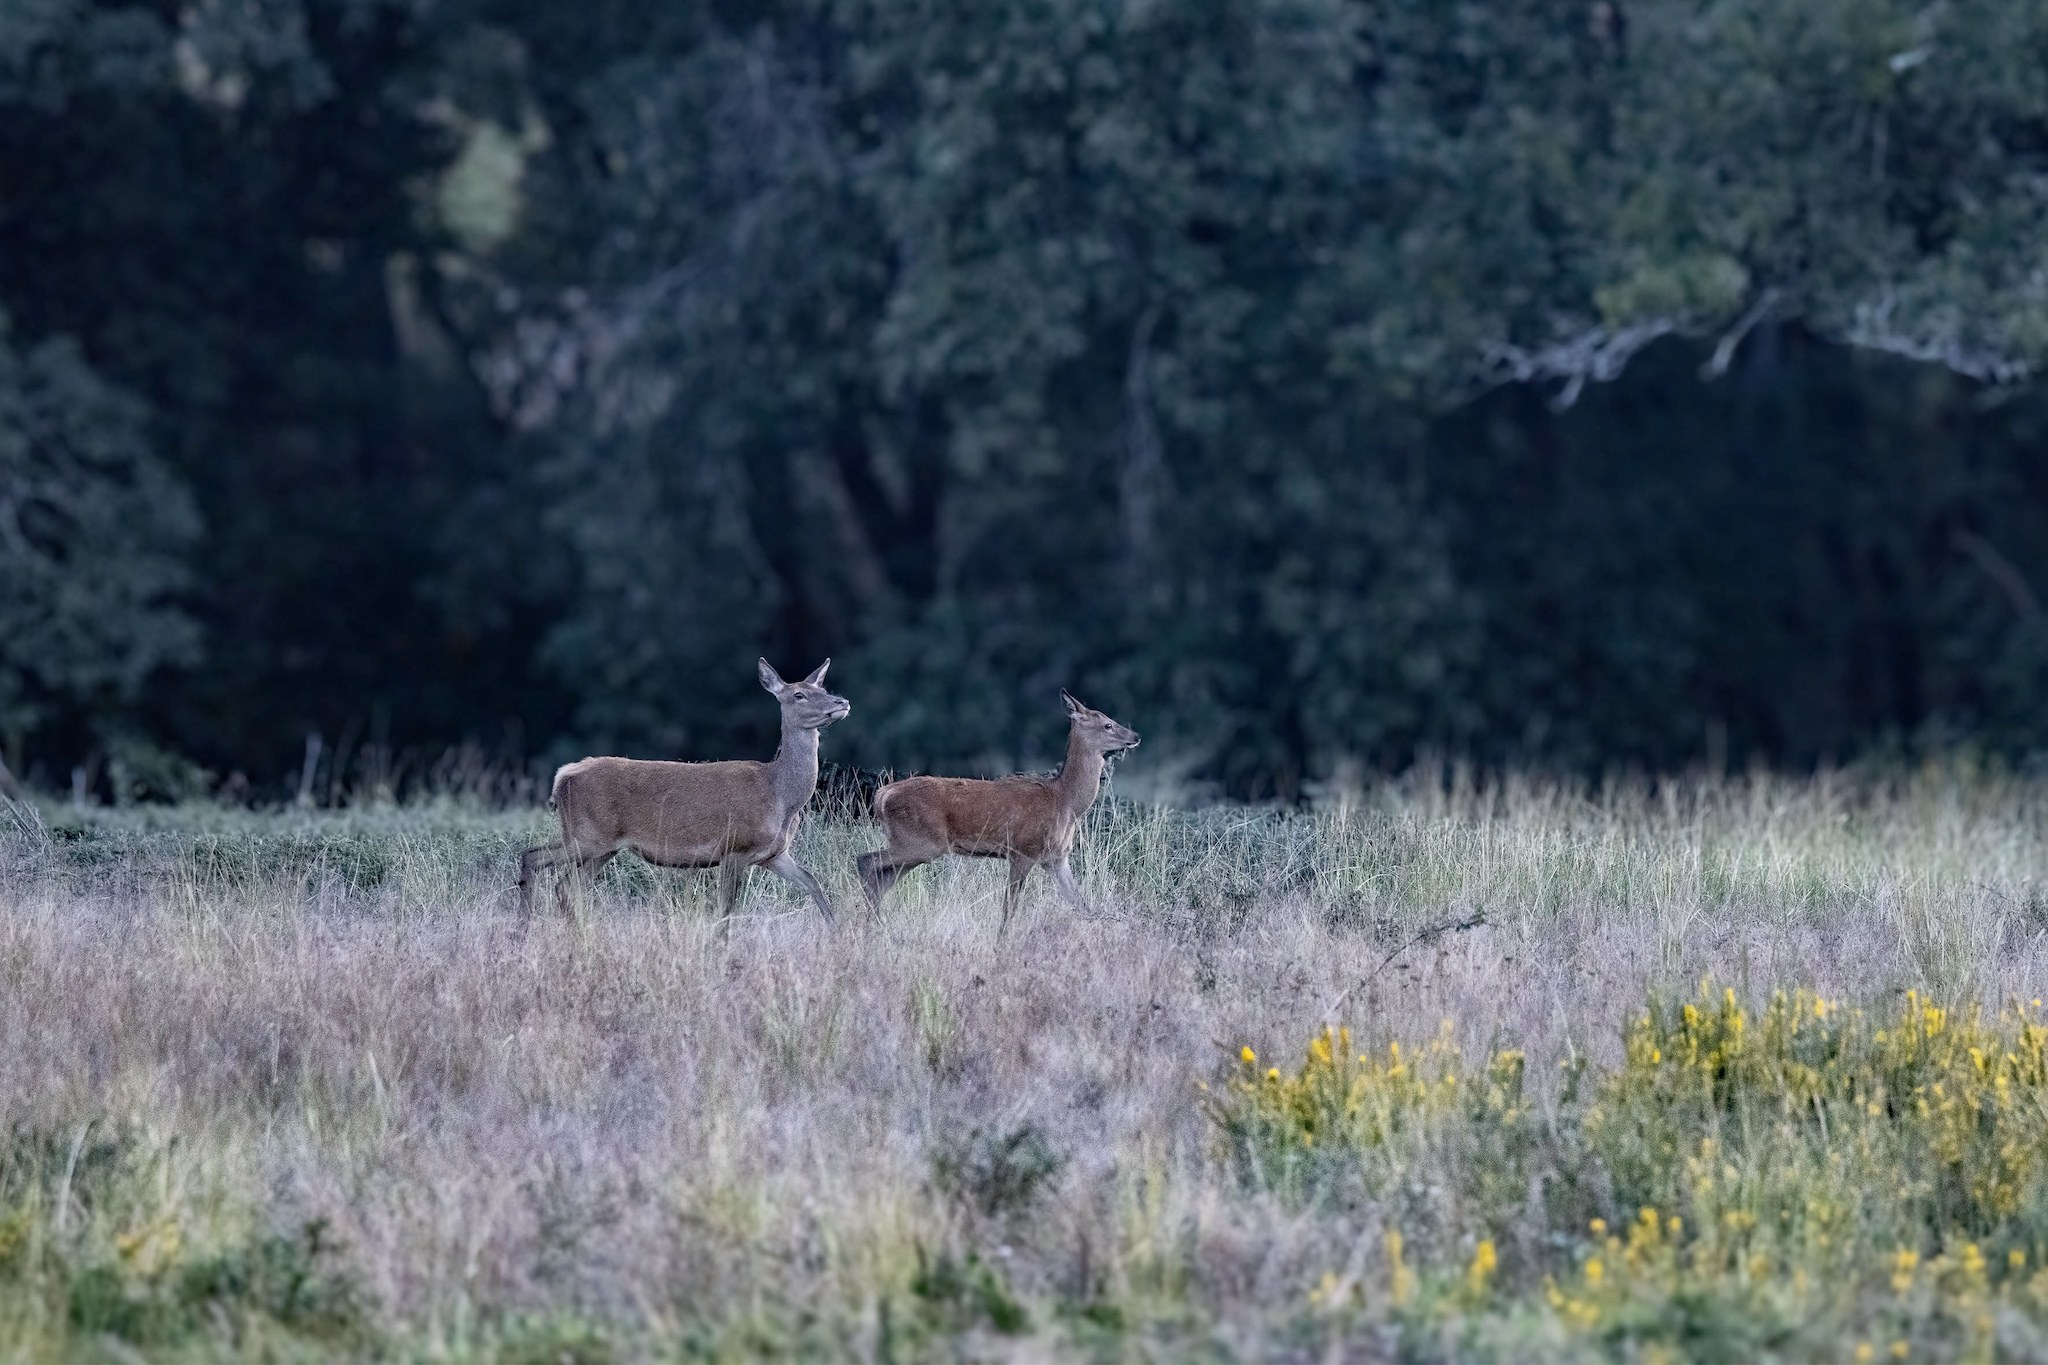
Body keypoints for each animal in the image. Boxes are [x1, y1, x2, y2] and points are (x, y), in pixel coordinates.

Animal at [517, 658, 850, 920]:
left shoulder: (775, 854)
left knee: (566, 887)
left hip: (604, 847)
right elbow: (726, 910)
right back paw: (526, 926)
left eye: (824, 690)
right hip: (587, 836)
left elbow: (814, 884)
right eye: (799, 694)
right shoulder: (733, 848)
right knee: (532, 858)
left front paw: (836, 934)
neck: (780, 797)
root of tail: (562, 777)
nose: (842, 703)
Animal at [857, 691, 1139, 933]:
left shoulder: (1057, 858)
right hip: (921, 842)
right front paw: (1002, 943)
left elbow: (1081, 903)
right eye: (1107, 725)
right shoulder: (1023, 851)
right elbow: (1009, 908)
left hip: (915, 848)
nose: (1135, 736)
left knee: (880, 879)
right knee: (865, 861)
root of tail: (882, 796)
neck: (1065, 802)